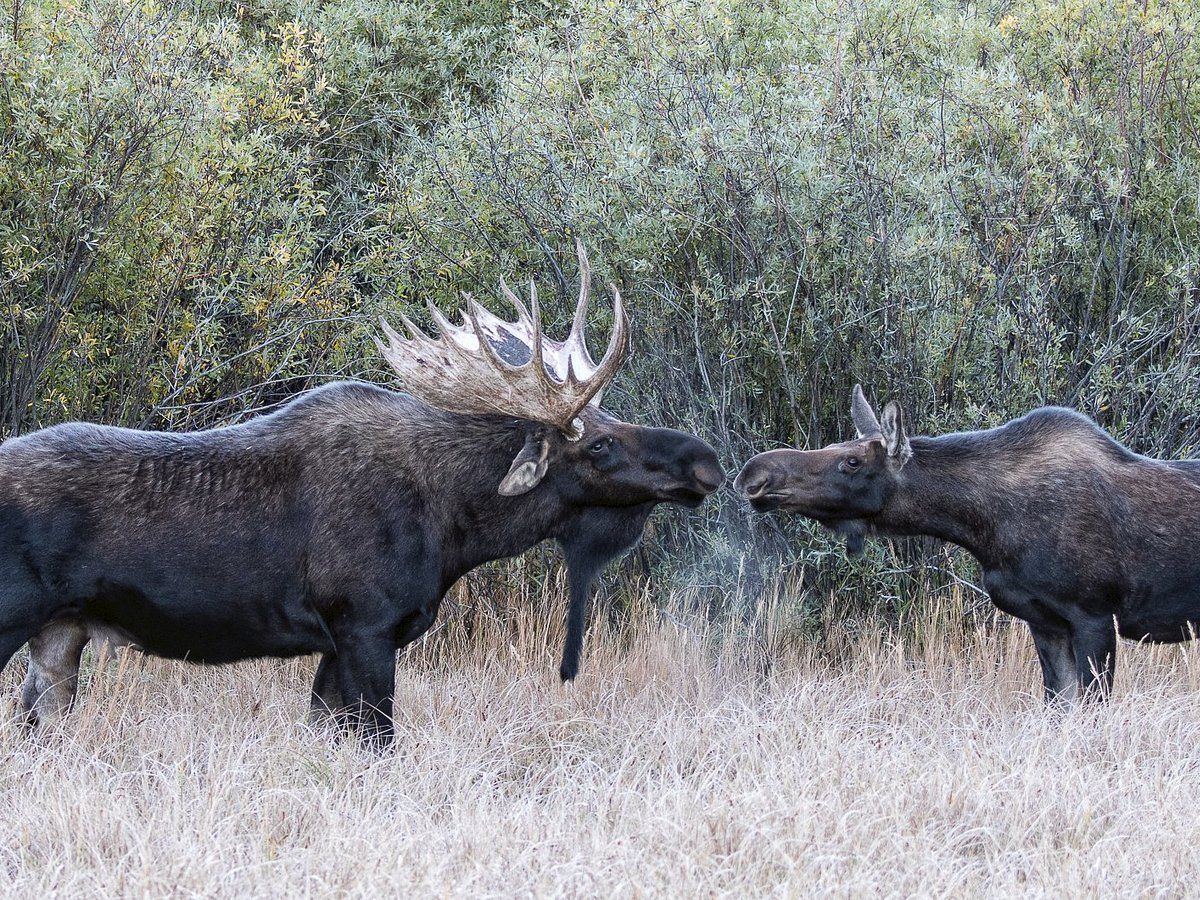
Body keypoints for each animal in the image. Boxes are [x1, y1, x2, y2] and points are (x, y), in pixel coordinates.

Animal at [0, 243, 720, 744]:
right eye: (597, 444)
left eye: (610, 418)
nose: (705, 463)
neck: (455, 528)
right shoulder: (365, 625)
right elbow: (380, 742)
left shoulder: (336, 642)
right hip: (14, 617)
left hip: (60, 637)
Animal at [734, 386, 1200, 705]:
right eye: (834, 445)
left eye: (851, 461)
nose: (754, 474)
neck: (985, 528)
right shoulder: (1046, 622)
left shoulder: (1096, 615)